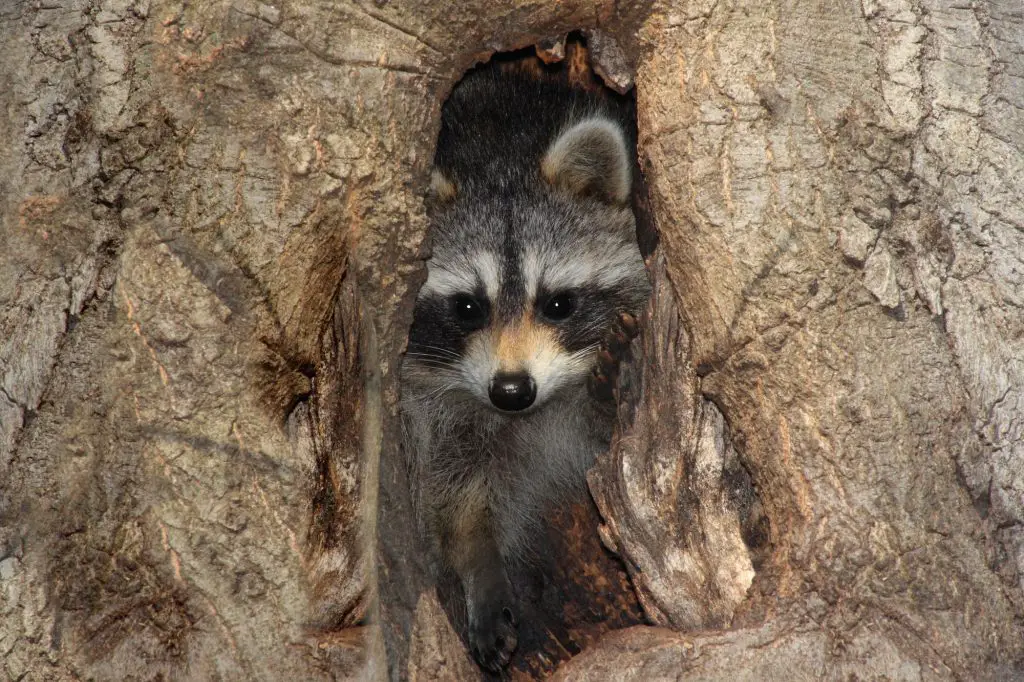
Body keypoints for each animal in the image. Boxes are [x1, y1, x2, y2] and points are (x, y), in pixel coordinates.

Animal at [399, 67, 647, 667]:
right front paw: (479, 566)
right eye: (469, 307)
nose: (512, 390)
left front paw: (612, 386)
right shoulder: (436, 413)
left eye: (557, 303)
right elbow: (454, 497)